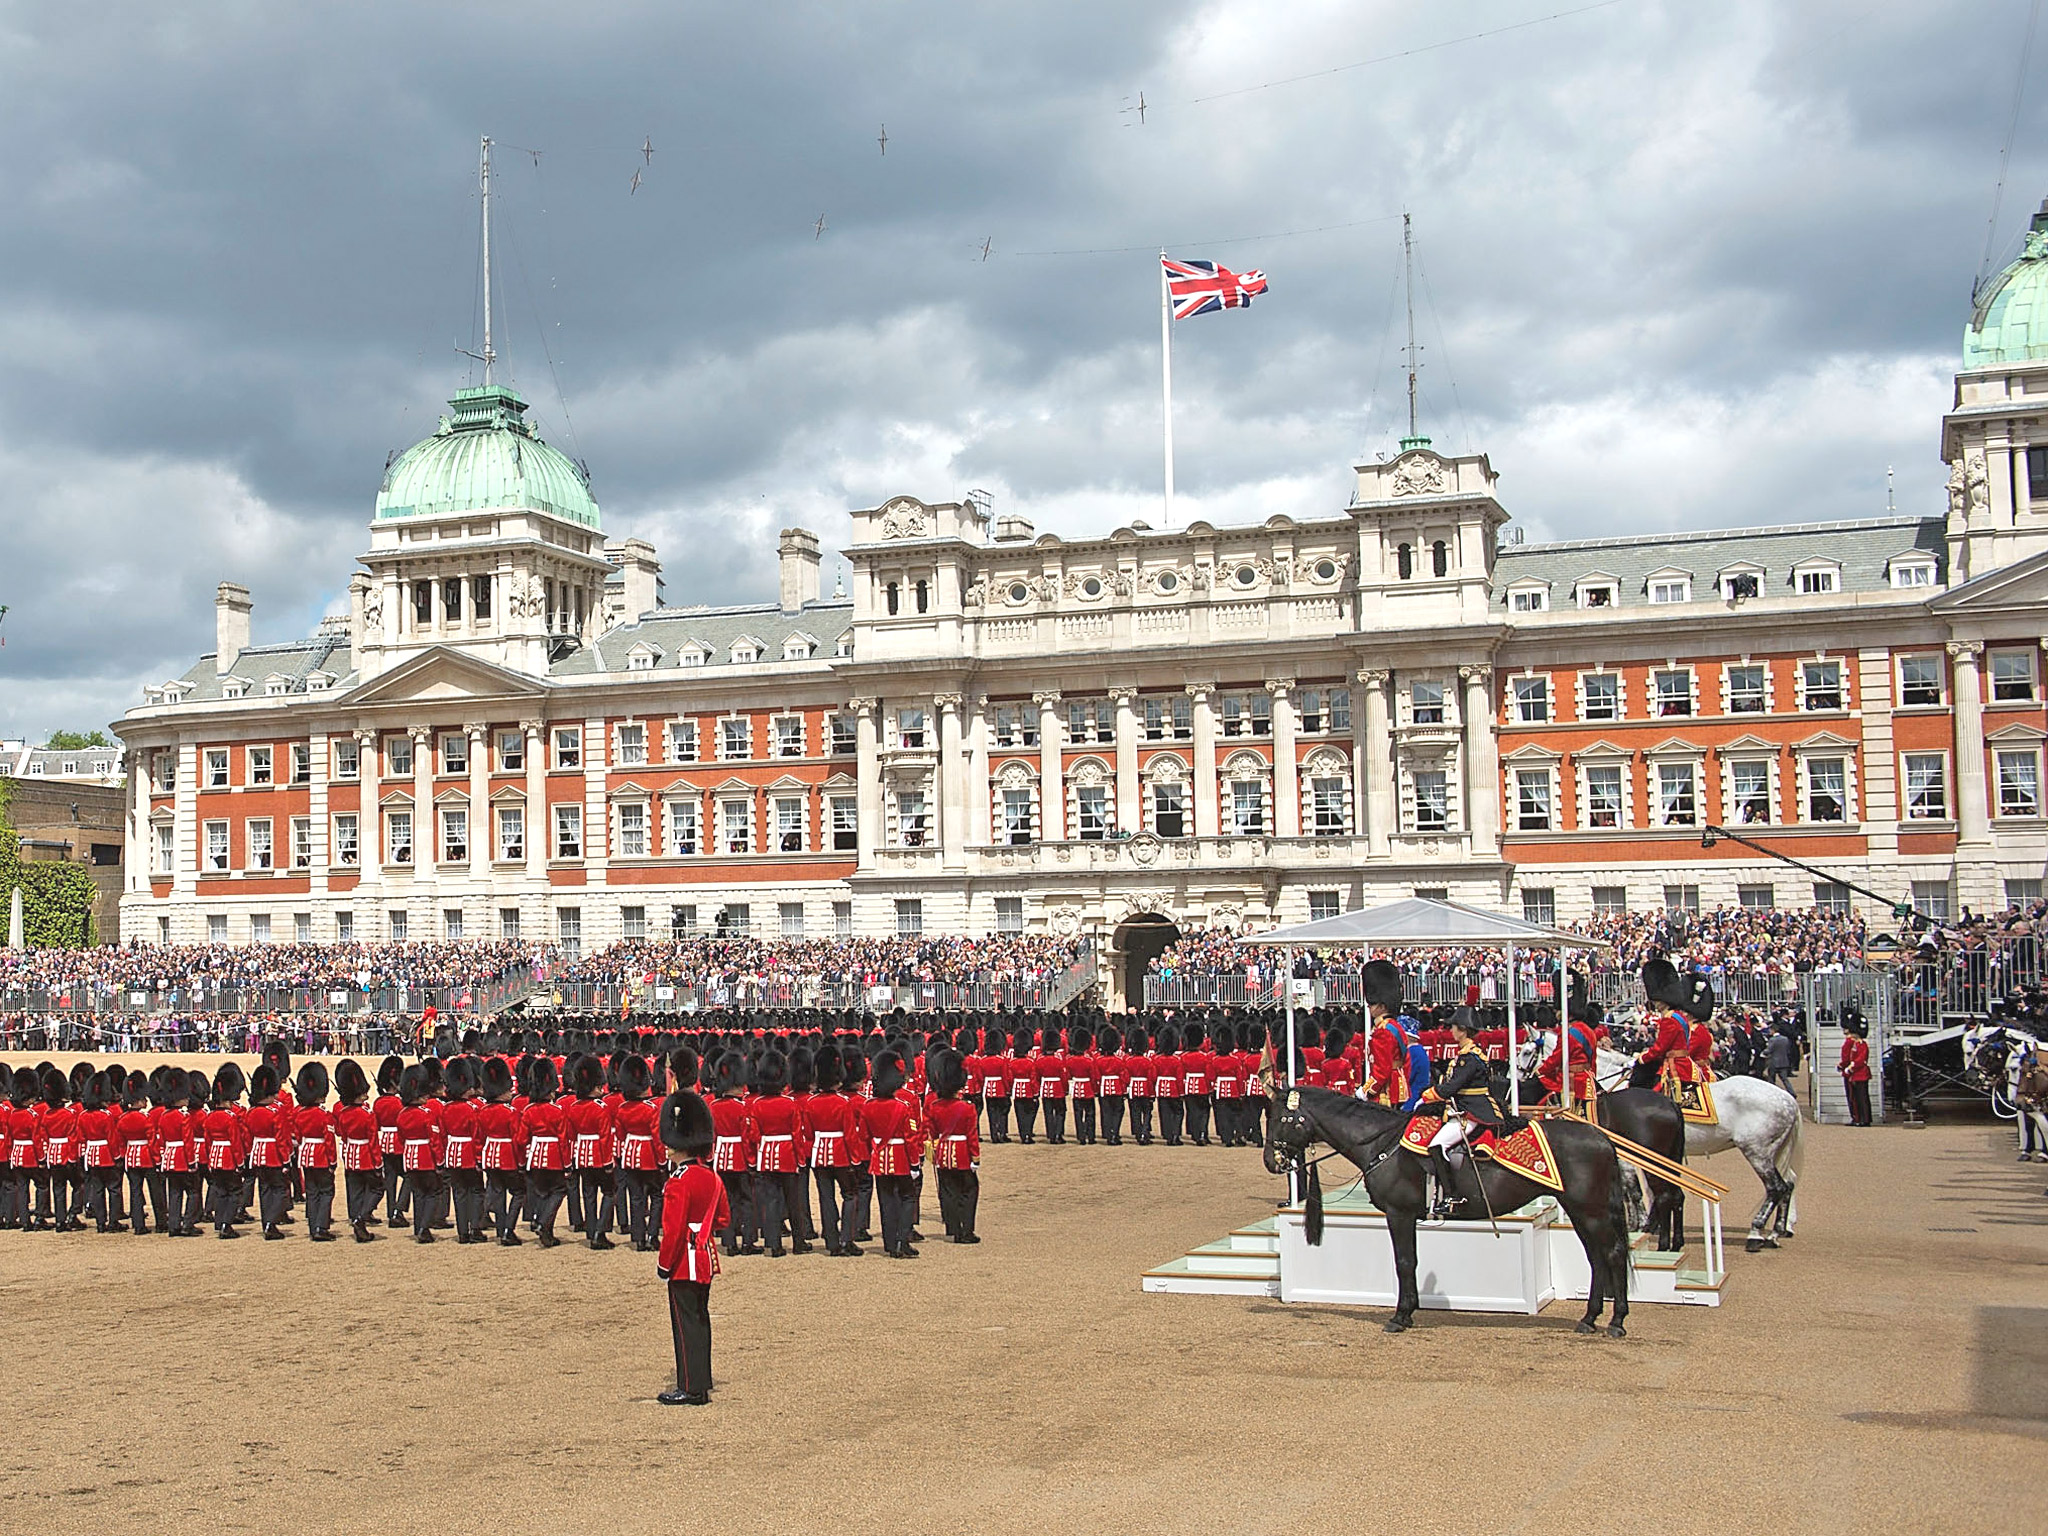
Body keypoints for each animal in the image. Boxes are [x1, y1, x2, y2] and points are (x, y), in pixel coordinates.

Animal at [1261, 1089, 1630, 1343]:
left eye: (1280, 1118)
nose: (1269, 1161)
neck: (1381, 1142)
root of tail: (1600, 1137)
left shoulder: (1399, 1214)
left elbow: (1404, 1262)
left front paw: (1400, 1315)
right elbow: (1410, 1261)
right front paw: (1408, 1312)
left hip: (1591, 1212)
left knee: (1611, 1254)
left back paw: (1616, 1321)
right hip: (1580, 1212)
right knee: (1596, 1258)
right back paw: (1590, 1318)